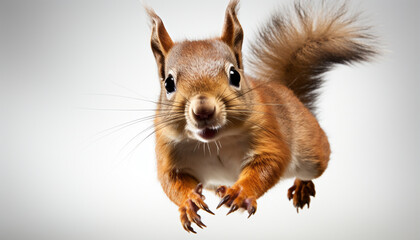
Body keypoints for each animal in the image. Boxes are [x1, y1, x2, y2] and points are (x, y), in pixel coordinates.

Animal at [146, 0, 376, 232]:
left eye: (234, 75)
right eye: (168, 83)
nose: (203, 110)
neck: (215, 142)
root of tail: (292, 95)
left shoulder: (268, 132)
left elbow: (270, 163)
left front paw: (241, 192)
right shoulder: (169, 151)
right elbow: (171, 182)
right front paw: (188, 203)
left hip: (312, 155)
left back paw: (300, 185)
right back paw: (222, 189)